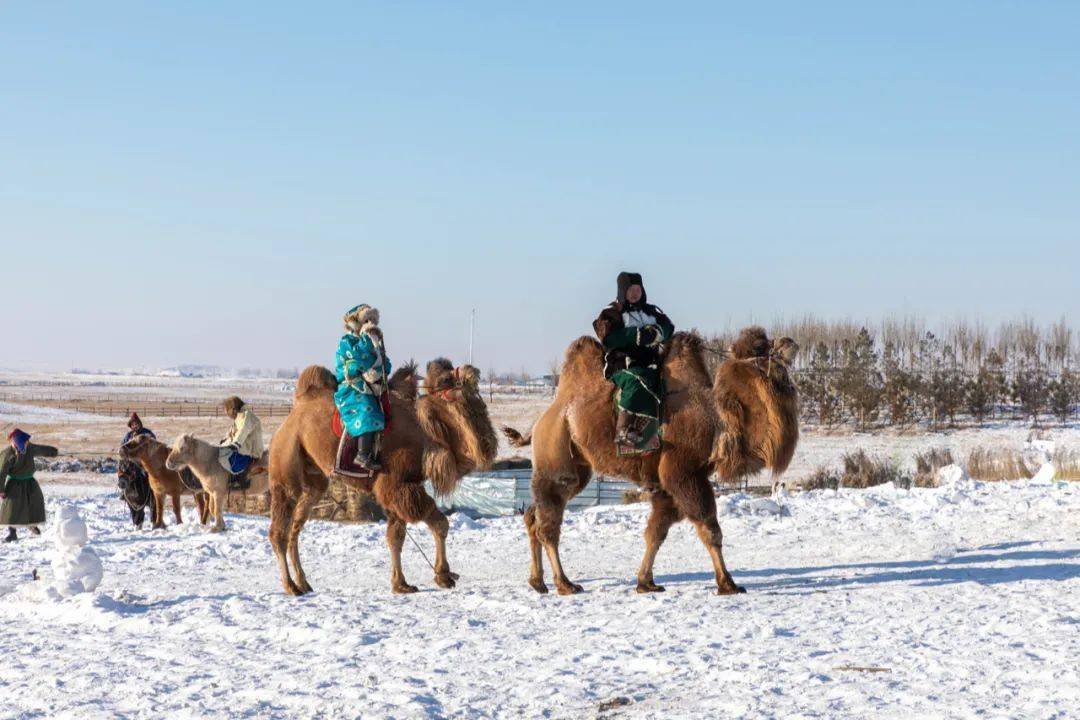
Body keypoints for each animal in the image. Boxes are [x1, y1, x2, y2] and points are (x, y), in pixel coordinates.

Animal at [267, 358, 494, 595]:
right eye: (447, 379)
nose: (470, 372)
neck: (424, 429)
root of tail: (293, 414)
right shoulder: (396, 484)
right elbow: (440, 523)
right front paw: (443, 575)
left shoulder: (401, 487)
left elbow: (395, 537)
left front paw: (401, 583)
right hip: (285, 459)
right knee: (279, 531)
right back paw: (291, 586)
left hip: (314, 479)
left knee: (296, 527)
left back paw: (303, 582)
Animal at [501, 325, 799, 595]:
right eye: (762, 348)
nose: (790, 342)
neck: (718, 418)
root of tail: (542, 419)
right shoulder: (683, 472)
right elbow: (709, 528)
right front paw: (728, 584)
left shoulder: (666, 485)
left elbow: (656, 533)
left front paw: (646, 582)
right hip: (556, 452)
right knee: (547, 523)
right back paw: (565, 584)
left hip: (577, 464)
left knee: (534, 514)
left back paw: (538, 582)